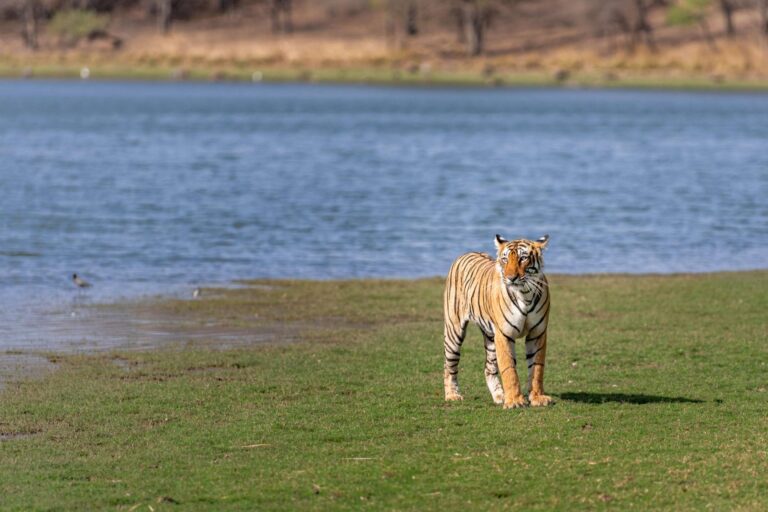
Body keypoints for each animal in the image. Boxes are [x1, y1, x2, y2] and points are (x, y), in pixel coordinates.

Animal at [443, 234, 552, 409]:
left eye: (523, 258)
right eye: (505, 259)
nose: (511, 278)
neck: (525, 294)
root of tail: (466, 253)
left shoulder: (538, 332)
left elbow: (537, 368)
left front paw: (537, 398)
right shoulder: (504, 334)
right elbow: (509, 368)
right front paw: (514, 401)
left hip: (490, 338)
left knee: (488, 368)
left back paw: (500, 395)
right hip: (454, 332)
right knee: (449, 366)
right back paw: (452, 395)